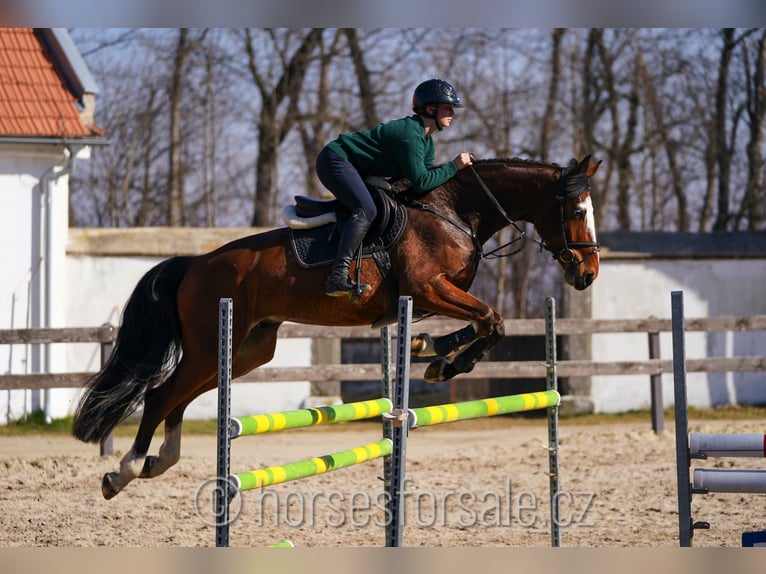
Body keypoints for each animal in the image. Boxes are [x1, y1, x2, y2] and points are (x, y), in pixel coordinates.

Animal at [72, 154, 604, 500]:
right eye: (578, 211)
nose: (587, 275)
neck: (454, 211)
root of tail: (195, 264)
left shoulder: (430, 298)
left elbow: (483, 322)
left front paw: (429, 349)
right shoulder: (428, 289)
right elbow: (491, 319)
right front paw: (441, 361)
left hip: (246, 351)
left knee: (178, 398)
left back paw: (156, 462)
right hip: (211, 345)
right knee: (161, 394)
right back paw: (126, 469)